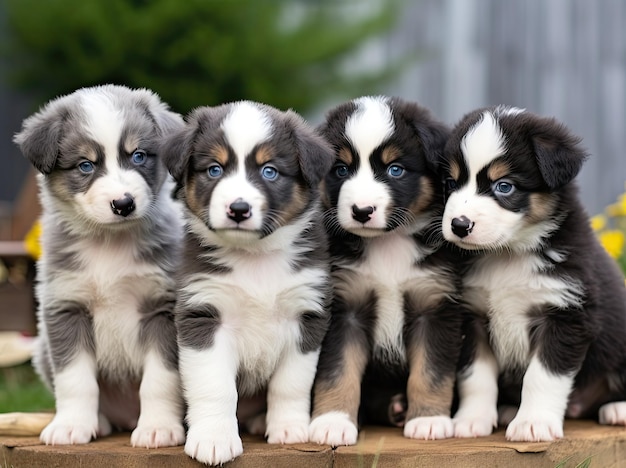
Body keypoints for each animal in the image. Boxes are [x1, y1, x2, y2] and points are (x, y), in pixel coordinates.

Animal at [13, 84, 185, 446]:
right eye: (85, 165)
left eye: (138, 156)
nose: (123, 203)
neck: (110, 244)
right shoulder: (67, 305)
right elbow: (75, 379)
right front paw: (70, 426)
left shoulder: (162, 308)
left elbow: (159, 380)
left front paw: (158, 427)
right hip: (42, 350)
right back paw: (101, 423)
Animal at [163, 101, 334, 464]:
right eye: (214, 170)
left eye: (269, 171)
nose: (238, 209)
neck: (255, 257)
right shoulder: (203, 315)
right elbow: (214, 386)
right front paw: (214, 439)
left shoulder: (306, 317)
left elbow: (291, 383)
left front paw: (290, 430)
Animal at [308, 96, 464, 446]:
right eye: (341, 169)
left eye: (395, 170)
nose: (362, 211)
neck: (388, 244)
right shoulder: (345, 309)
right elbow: (338, 371)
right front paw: (333, 421)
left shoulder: (434, 307)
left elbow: (430, 372)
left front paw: (429, 420)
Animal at [438, 107, 624, 442]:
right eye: (450, 182)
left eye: (504, 186)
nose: (459, 225)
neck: (508, 255)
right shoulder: (472, 316)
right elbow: (476, 376)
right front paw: (471, 420)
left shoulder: (566, 313)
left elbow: (542, 376)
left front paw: (533, 423)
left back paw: (618, 409)